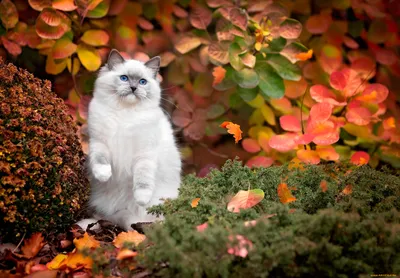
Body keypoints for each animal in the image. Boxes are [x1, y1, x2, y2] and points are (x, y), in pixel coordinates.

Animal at [76, 49, 181, 230]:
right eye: (124, 78)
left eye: (142, 82)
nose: (133, 88)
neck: (125, 113)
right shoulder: (99, 143)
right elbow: (101, 161)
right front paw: (104, 175)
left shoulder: (144, 154)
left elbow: (142, 180)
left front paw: (142, 198)